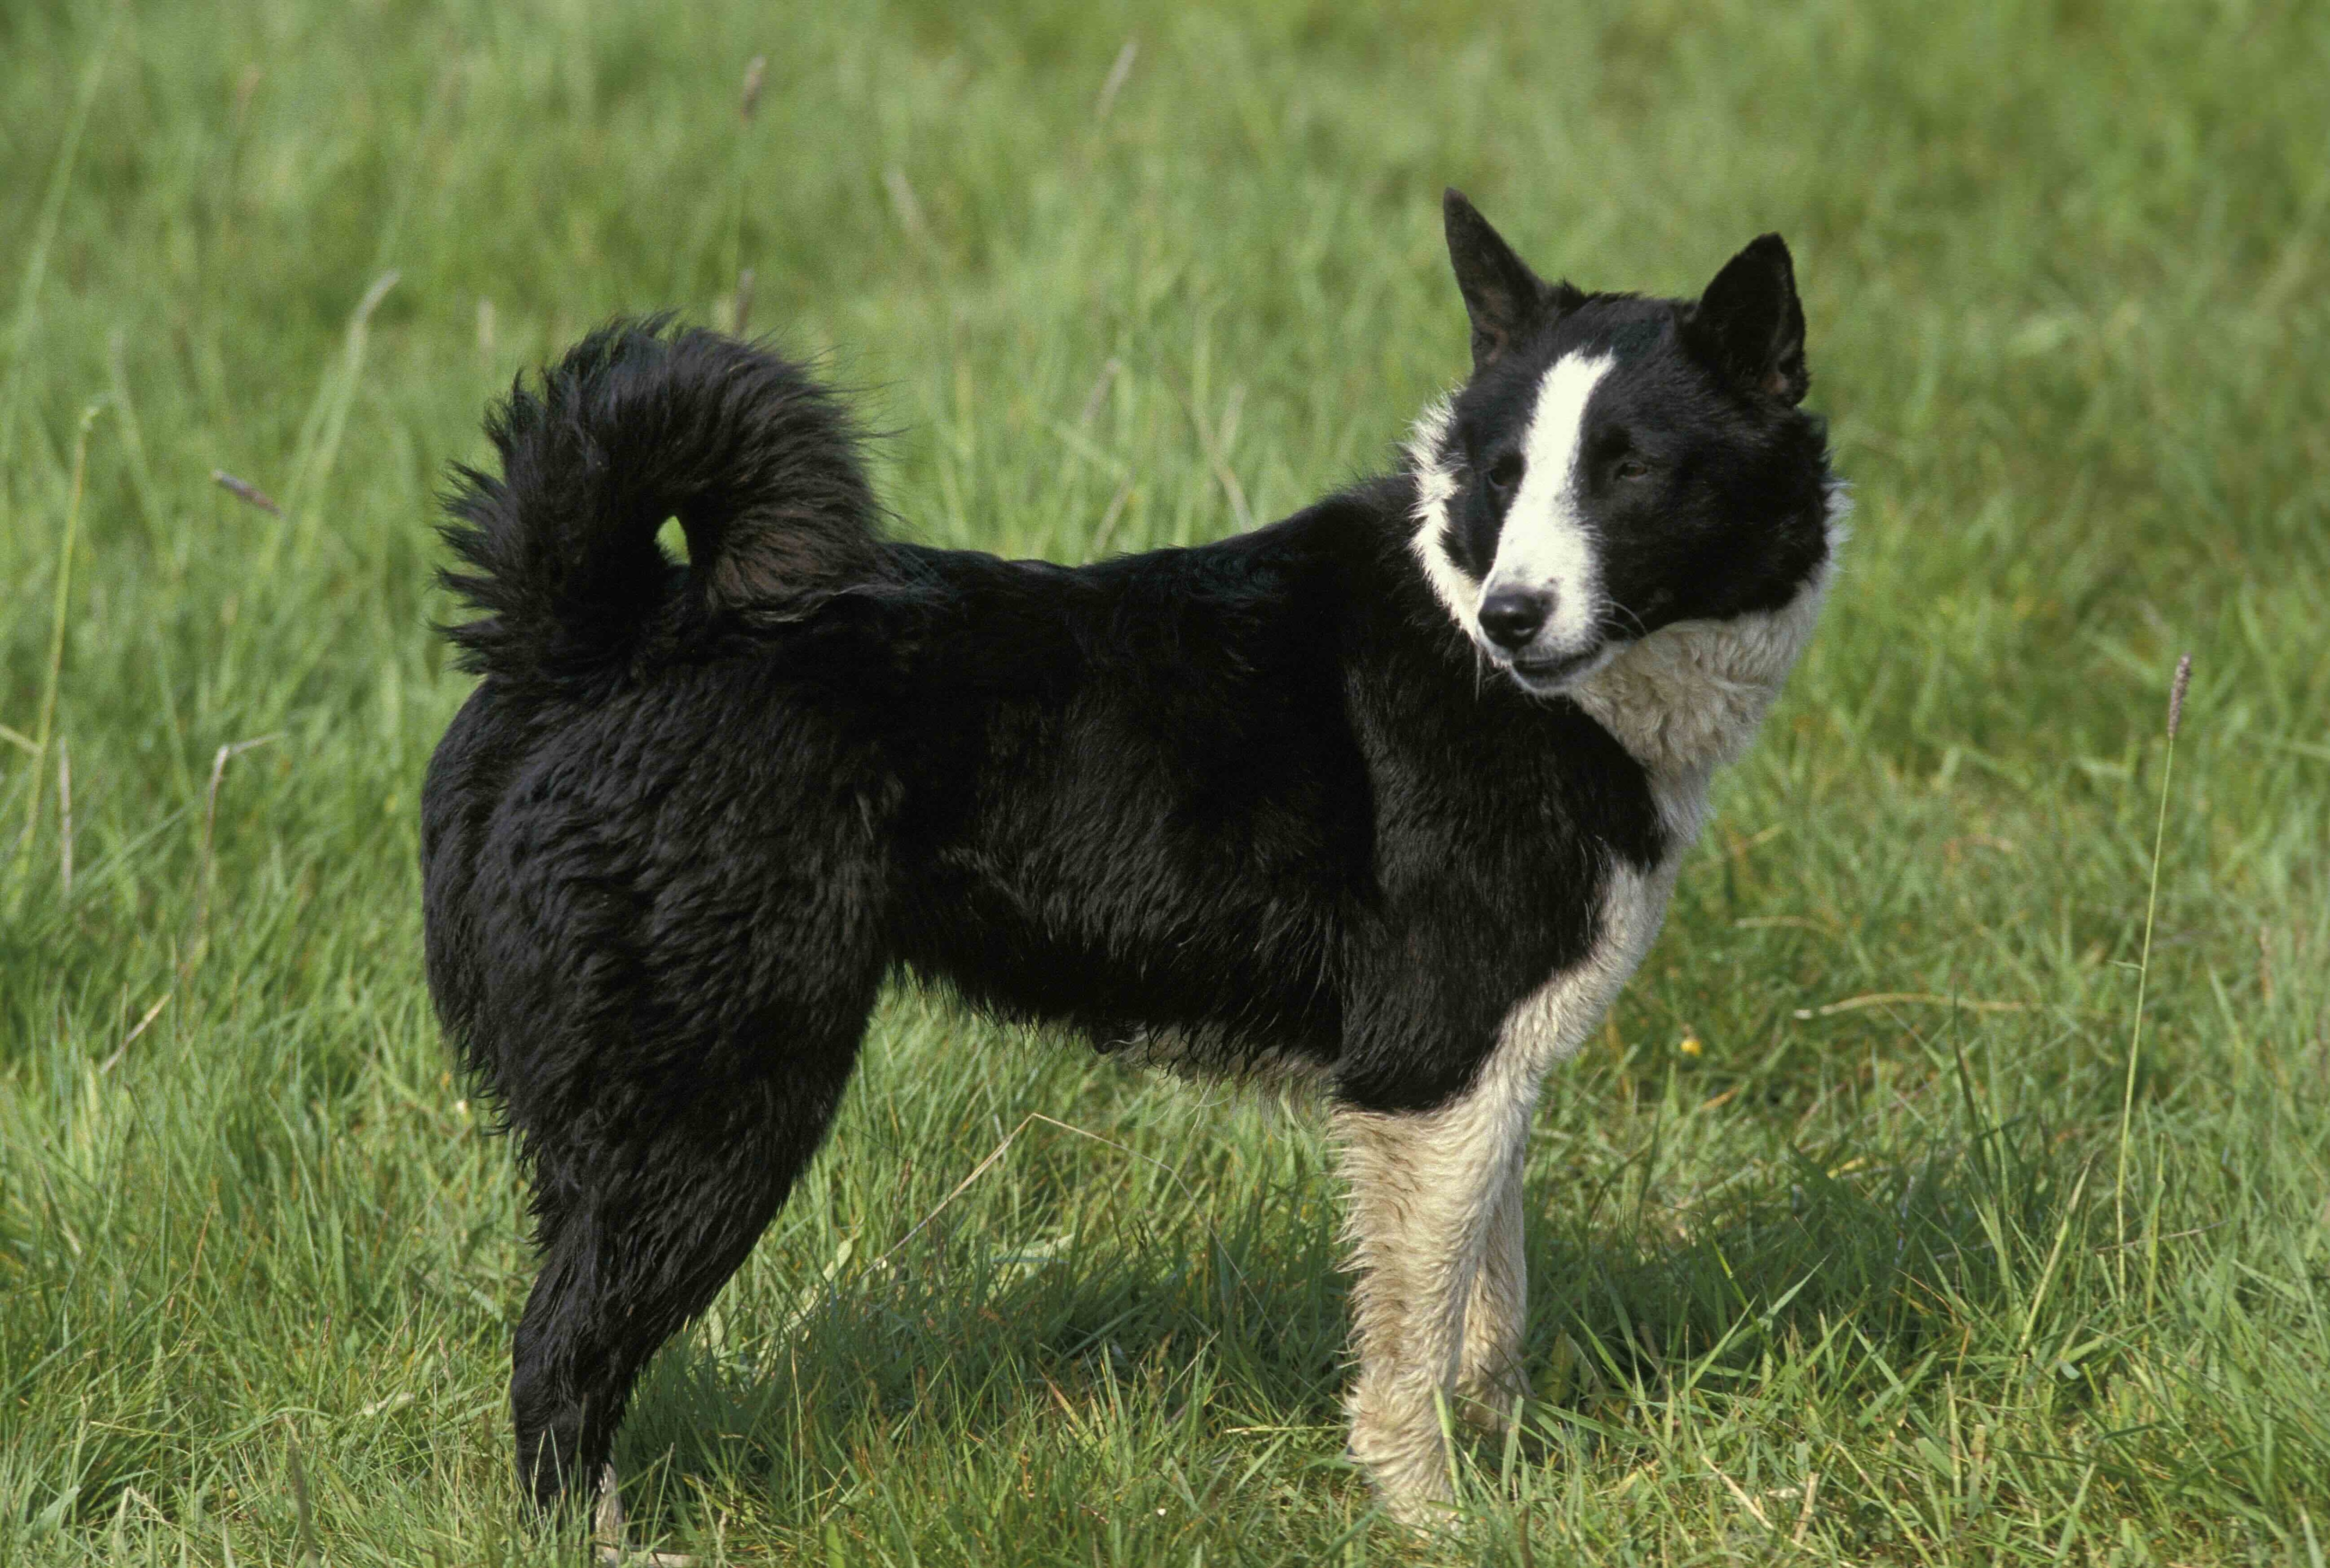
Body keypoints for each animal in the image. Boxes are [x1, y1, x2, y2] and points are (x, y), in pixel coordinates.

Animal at [415, 190, 1836, 1519]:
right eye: (1500, 474)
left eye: (1627, 472)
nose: (1513, 616)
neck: (1484, 631)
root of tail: (596, 637)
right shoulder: (1427, 1069)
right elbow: (1417, 1343)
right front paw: (1435, 1515)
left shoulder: (1490, 1079)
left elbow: (1489, 1312)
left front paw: (1505, 1474)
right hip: (717, 1100)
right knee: (560, 1357)